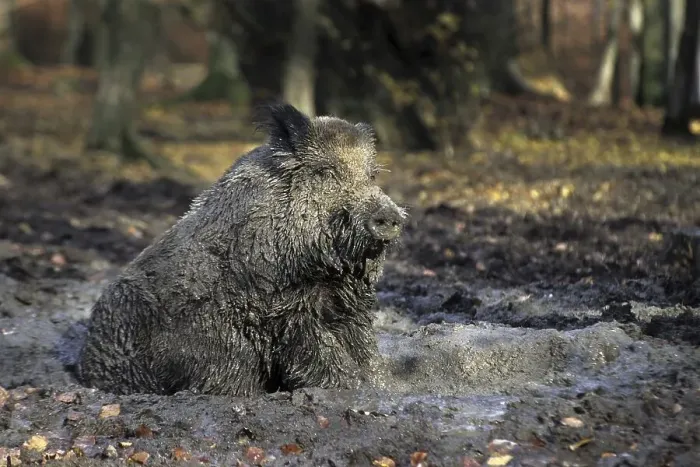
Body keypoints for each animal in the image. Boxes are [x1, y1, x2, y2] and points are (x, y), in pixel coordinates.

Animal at [76, 103, 407, 396]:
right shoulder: (286, 310)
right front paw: (354, 390)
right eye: (325, 172)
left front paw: (386, 389)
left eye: (372, 175)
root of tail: (87, 364)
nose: (390, 216)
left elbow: (366, 352)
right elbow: (323, 355)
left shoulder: (350, 306)